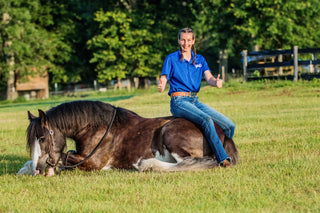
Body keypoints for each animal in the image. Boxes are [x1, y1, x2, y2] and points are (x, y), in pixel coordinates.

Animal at [16, 100, 238, 176]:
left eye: (42, 138)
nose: (39, 170)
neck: (98, 127)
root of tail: (220, 132)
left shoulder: (92, 163)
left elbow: (66, 156)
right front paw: (25, 168)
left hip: (171, 134)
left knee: (189, 163)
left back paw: (147, 165)